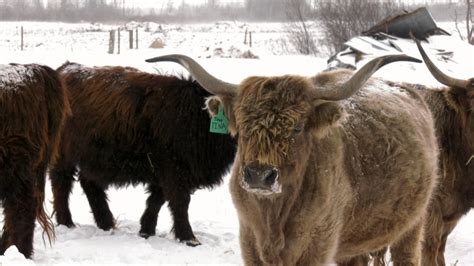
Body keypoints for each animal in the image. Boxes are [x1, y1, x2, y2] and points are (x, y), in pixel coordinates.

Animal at [50, 61, 237, 245]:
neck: (197, 117)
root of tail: (64, 69)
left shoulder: (163, 171)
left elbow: (157, 199)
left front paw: (146, 230)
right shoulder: (173, 169)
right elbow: (180, 201)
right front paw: (189, 237)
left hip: (93, 158)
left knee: (89, 182)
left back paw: (106, 223)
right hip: (64, 154)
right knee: (61, 182)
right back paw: (67, 222)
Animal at [146, 53, 438, 264]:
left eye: (297, 128)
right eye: (242, 126)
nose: (259, 176)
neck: (274, 217)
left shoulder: (317, 246)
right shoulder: (250, 242)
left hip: (412, 226)